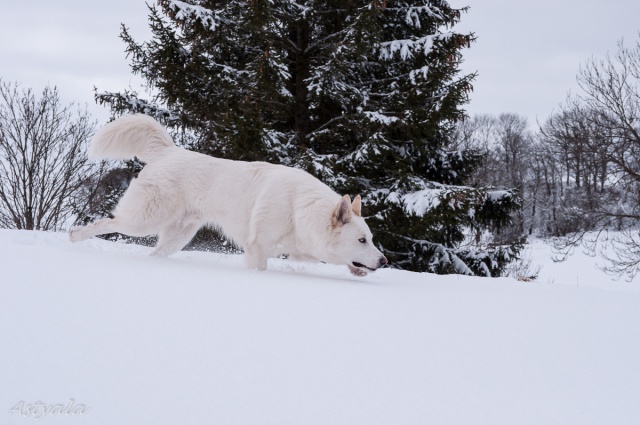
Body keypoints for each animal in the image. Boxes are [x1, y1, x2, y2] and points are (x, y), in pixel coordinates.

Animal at [72, 114, 388, 274]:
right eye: (361, 240)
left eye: (372, 239)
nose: (385, 261)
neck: (300, 209)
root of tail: (169, 151)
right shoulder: (257, 248)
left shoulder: (298, 248)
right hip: (143, 221)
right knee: (108, 223)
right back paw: (74, 237)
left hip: (178, 237)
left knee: (155, 253)